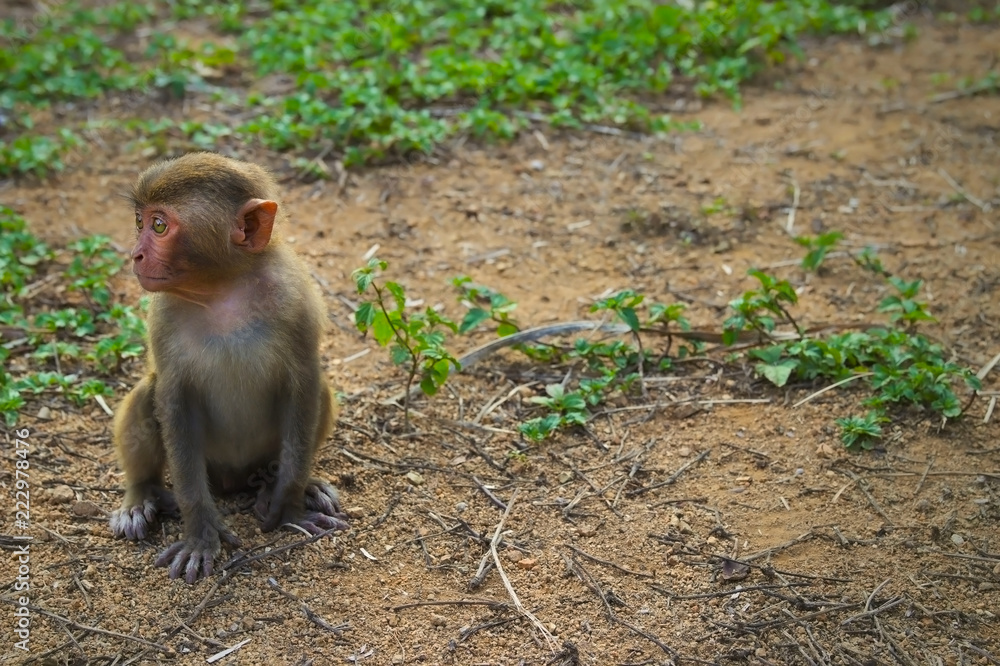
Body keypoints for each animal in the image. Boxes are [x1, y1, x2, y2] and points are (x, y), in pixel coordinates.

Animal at [109, 152, 350, 584]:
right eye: (139, 221)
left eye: (159, 225)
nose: (135, 255)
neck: (222, 289)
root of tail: (235, 480)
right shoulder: (162, 315)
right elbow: (172, 398)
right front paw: (201, 535)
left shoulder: (297, 297)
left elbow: (304, 384)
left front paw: (289, 505)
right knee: (147, 392)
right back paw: (141, 494)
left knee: (318, 392)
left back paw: (289, 486)